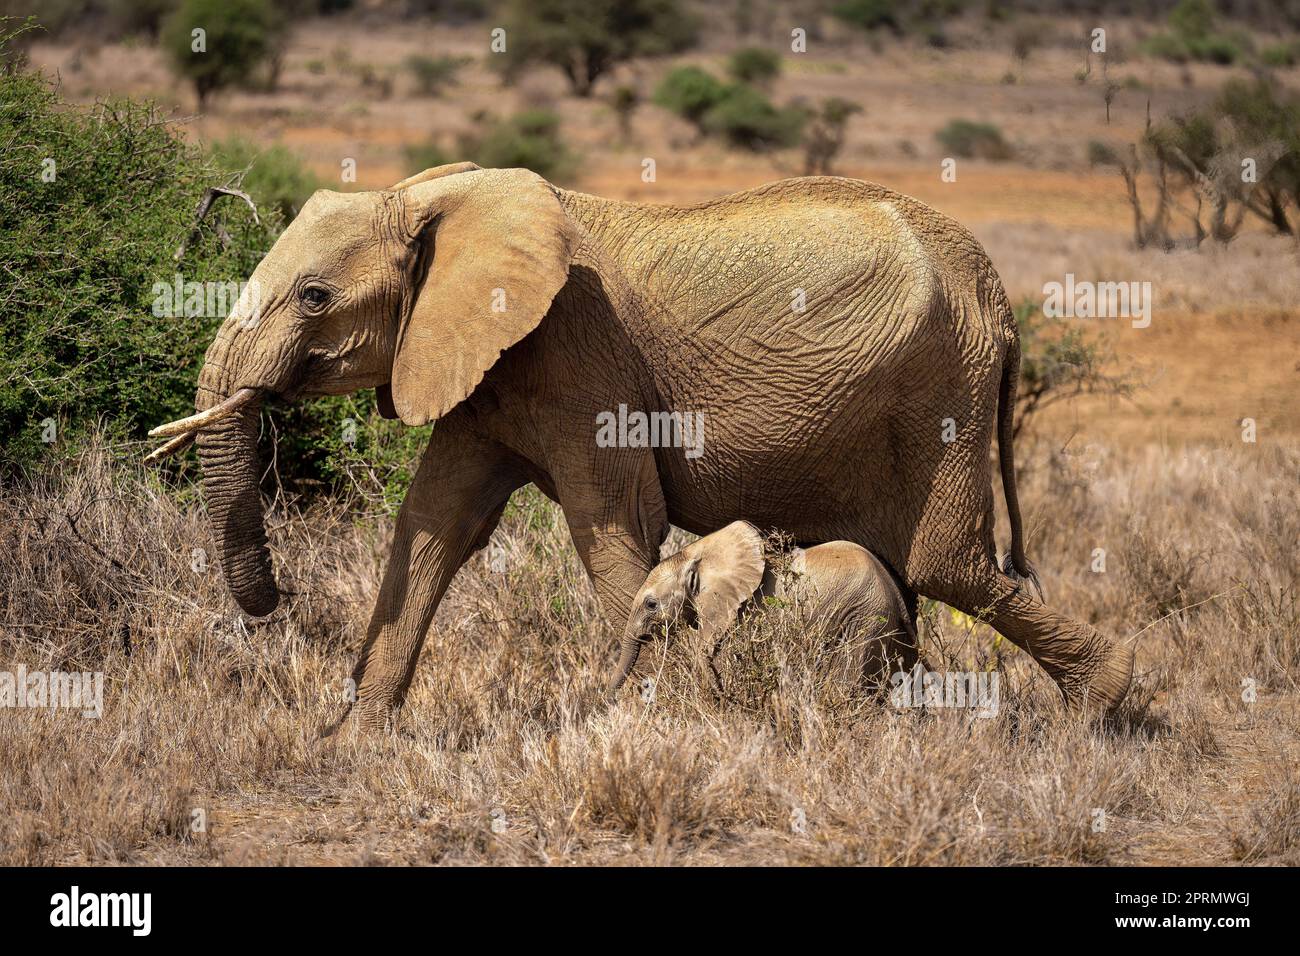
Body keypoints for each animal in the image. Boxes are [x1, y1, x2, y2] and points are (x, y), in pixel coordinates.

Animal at [610, 520, 922, 696]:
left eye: (651, 604)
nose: (606, 697)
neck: (697, 553)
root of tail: (893, 589)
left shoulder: (748, 611)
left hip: (866, 615)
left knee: (847, 679)